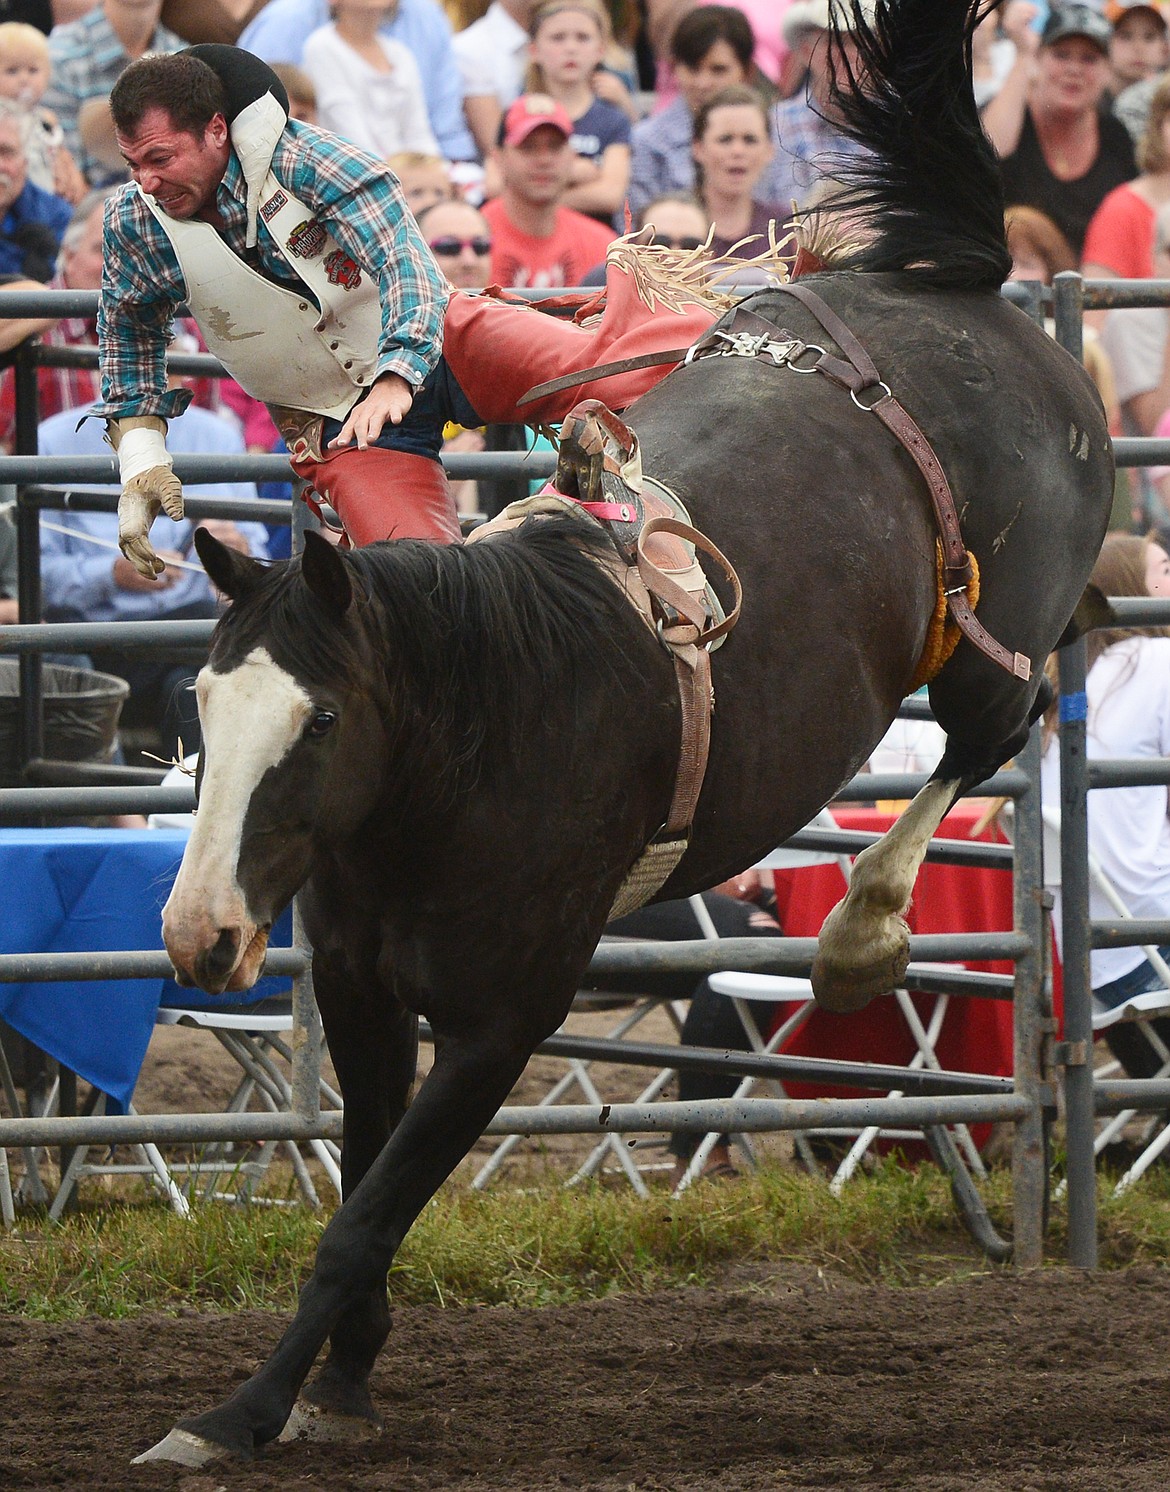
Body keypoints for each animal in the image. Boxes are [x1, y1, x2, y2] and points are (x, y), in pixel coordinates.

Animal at [141, 0, 1110, 1468]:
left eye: (319, 720)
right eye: (202, 703)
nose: (200, 935)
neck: (481, 730)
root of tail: (961, 291)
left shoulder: (504, 1020)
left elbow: (361, 1218)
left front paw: (237, 1414)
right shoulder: (360, 991)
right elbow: (358, 1191)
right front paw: (343, 1373)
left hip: (990, 650)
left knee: (994, 729)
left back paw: (858, 935)